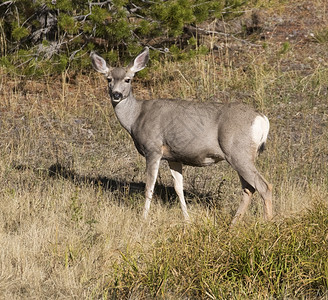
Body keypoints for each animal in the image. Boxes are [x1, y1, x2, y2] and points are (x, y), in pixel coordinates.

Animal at [89, 47, 272, 225]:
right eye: (108, 79)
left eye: (128, 79)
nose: (116, 95)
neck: (136, 118)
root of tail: (262, 119)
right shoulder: (174, 156)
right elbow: (179, 188)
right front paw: (188, 220)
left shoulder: (153, 148)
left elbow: (149, 187)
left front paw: (143, 218)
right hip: (241, 155)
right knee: (249, 188)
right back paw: (233, 224)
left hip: (238, 152)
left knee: (264, 186)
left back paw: (268, 223)